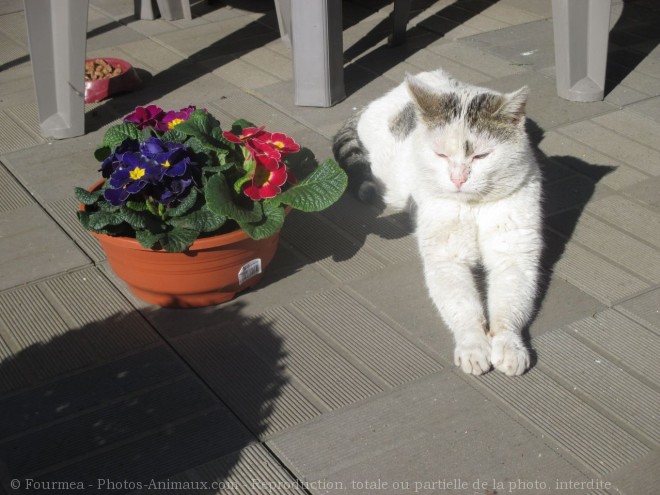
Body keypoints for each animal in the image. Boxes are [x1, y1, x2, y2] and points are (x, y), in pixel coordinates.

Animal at [332, 70, 544, 378]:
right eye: (441, 155)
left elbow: (508, 308)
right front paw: (473, 347)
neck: (473, 208)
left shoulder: (514, 255)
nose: (458, 178)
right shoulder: (446, 259)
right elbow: (463, 308)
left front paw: (509, 347)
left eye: (481, 155)